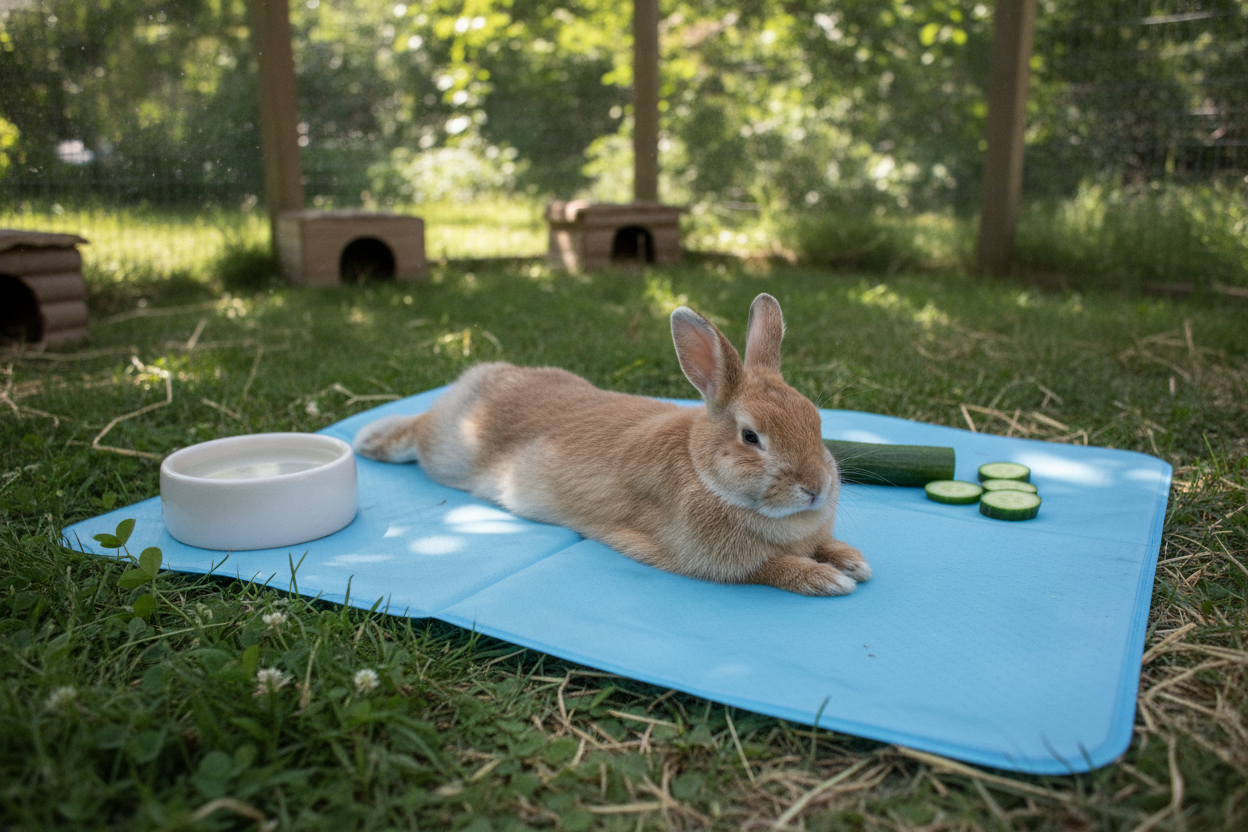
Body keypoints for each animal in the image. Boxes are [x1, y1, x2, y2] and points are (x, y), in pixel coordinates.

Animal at [353, 293, 870, 596]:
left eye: (816, 421)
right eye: (750, 437)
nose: (816, 488)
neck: (702, 469)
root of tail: (476, 380)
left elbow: (825, 545)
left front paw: (853, 562)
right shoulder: (713, 560)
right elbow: (773, 568)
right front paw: (829, 579)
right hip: (446, 451)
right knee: (419, 431)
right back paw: (371, 439)